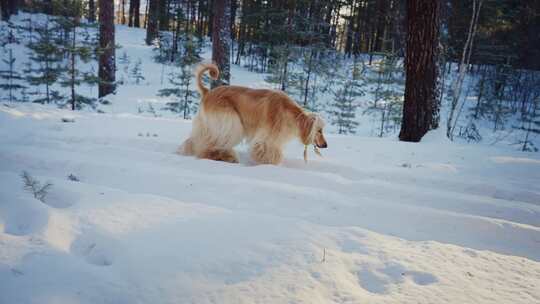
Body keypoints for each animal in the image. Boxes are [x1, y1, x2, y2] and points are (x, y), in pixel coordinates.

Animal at [179, 62, 326, 165]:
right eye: (319, 130)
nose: (325, 145)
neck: (288, 113)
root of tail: (208, 92)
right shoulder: (267, 137)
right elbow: (267, 150)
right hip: (229, 121)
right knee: (213, 144)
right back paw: (224, 156)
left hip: (208, 125)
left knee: (196, 141)